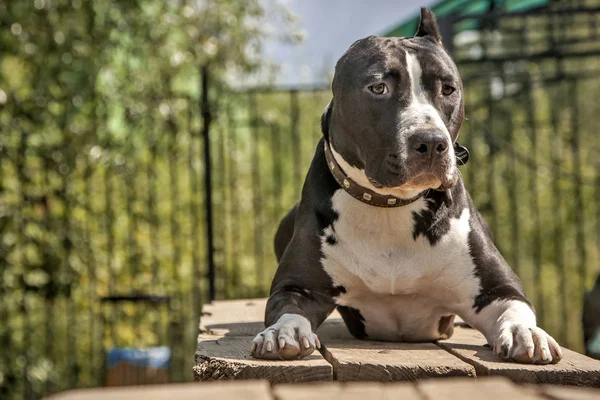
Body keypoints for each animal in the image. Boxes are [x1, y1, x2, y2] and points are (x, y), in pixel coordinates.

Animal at [252, 7, 564, 364]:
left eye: (448, 89)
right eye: (378, 88)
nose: (431, 142)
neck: (391, 206)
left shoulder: (497, 289)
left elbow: (515, 307)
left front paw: (526, 333)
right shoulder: (297, 287)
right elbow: (288, 308)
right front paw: (284, 331)